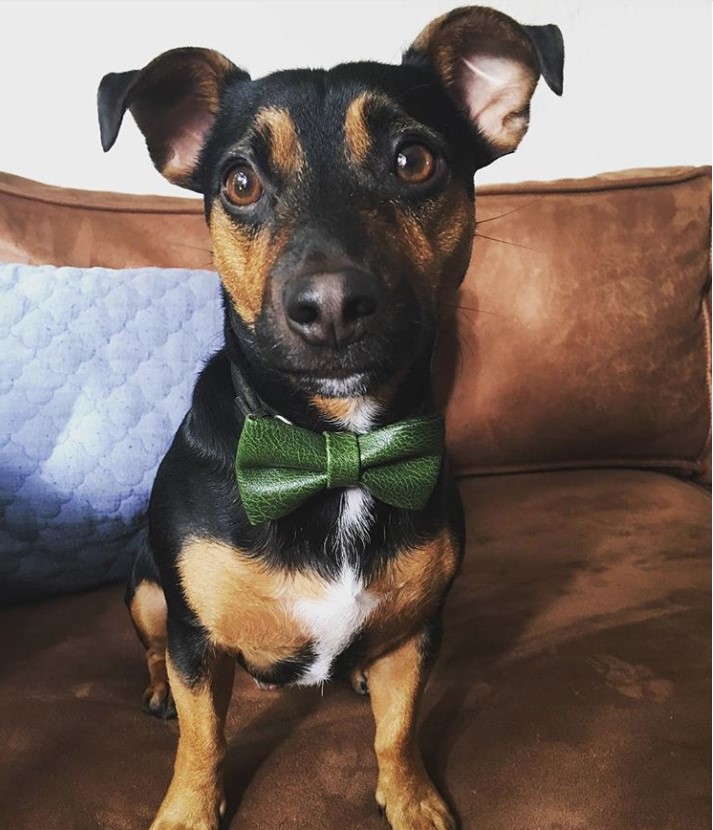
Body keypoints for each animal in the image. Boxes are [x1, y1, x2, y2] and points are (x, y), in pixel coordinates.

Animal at [97, 6, 560, 830]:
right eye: (239, 183)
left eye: (414, 161)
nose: (332, 304)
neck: (333, 449)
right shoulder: (194, 637)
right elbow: (202, 741)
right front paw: (188, 811)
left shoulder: (419, 630)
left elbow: (397, 729)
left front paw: (411, 800)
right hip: (147, 588)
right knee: (153, 652)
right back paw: (154, 691)